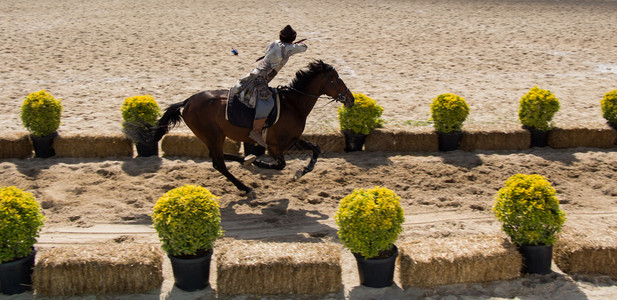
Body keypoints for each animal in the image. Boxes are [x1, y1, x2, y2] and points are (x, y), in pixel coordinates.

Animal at [141, 60, 352, 196]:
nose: (350, 98)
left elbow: (316, 149)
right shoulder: (275, 146)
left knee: (218, 158)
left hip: (212, 137)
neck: (293, 105)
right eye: (336, 79)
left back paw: (246, 159)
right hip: (213, 136)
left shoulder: (292, 140)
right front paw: (262, 163)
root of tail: (187, 102)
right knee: (218, 163)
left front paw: (303, 170)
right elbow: (280, 165)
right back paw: (246, 186)